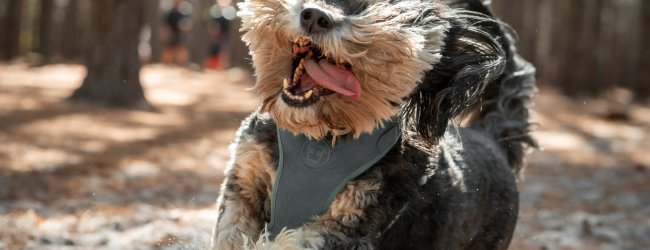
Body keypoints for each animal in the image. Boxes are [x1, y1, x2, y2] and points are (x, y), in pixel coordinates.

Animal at [210, 0, 536, 248]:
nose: (314, 16)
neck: (320, 136)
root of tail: (492, 139)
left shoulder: (354, 218)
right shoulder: (245, 185)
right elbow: (230, 232)